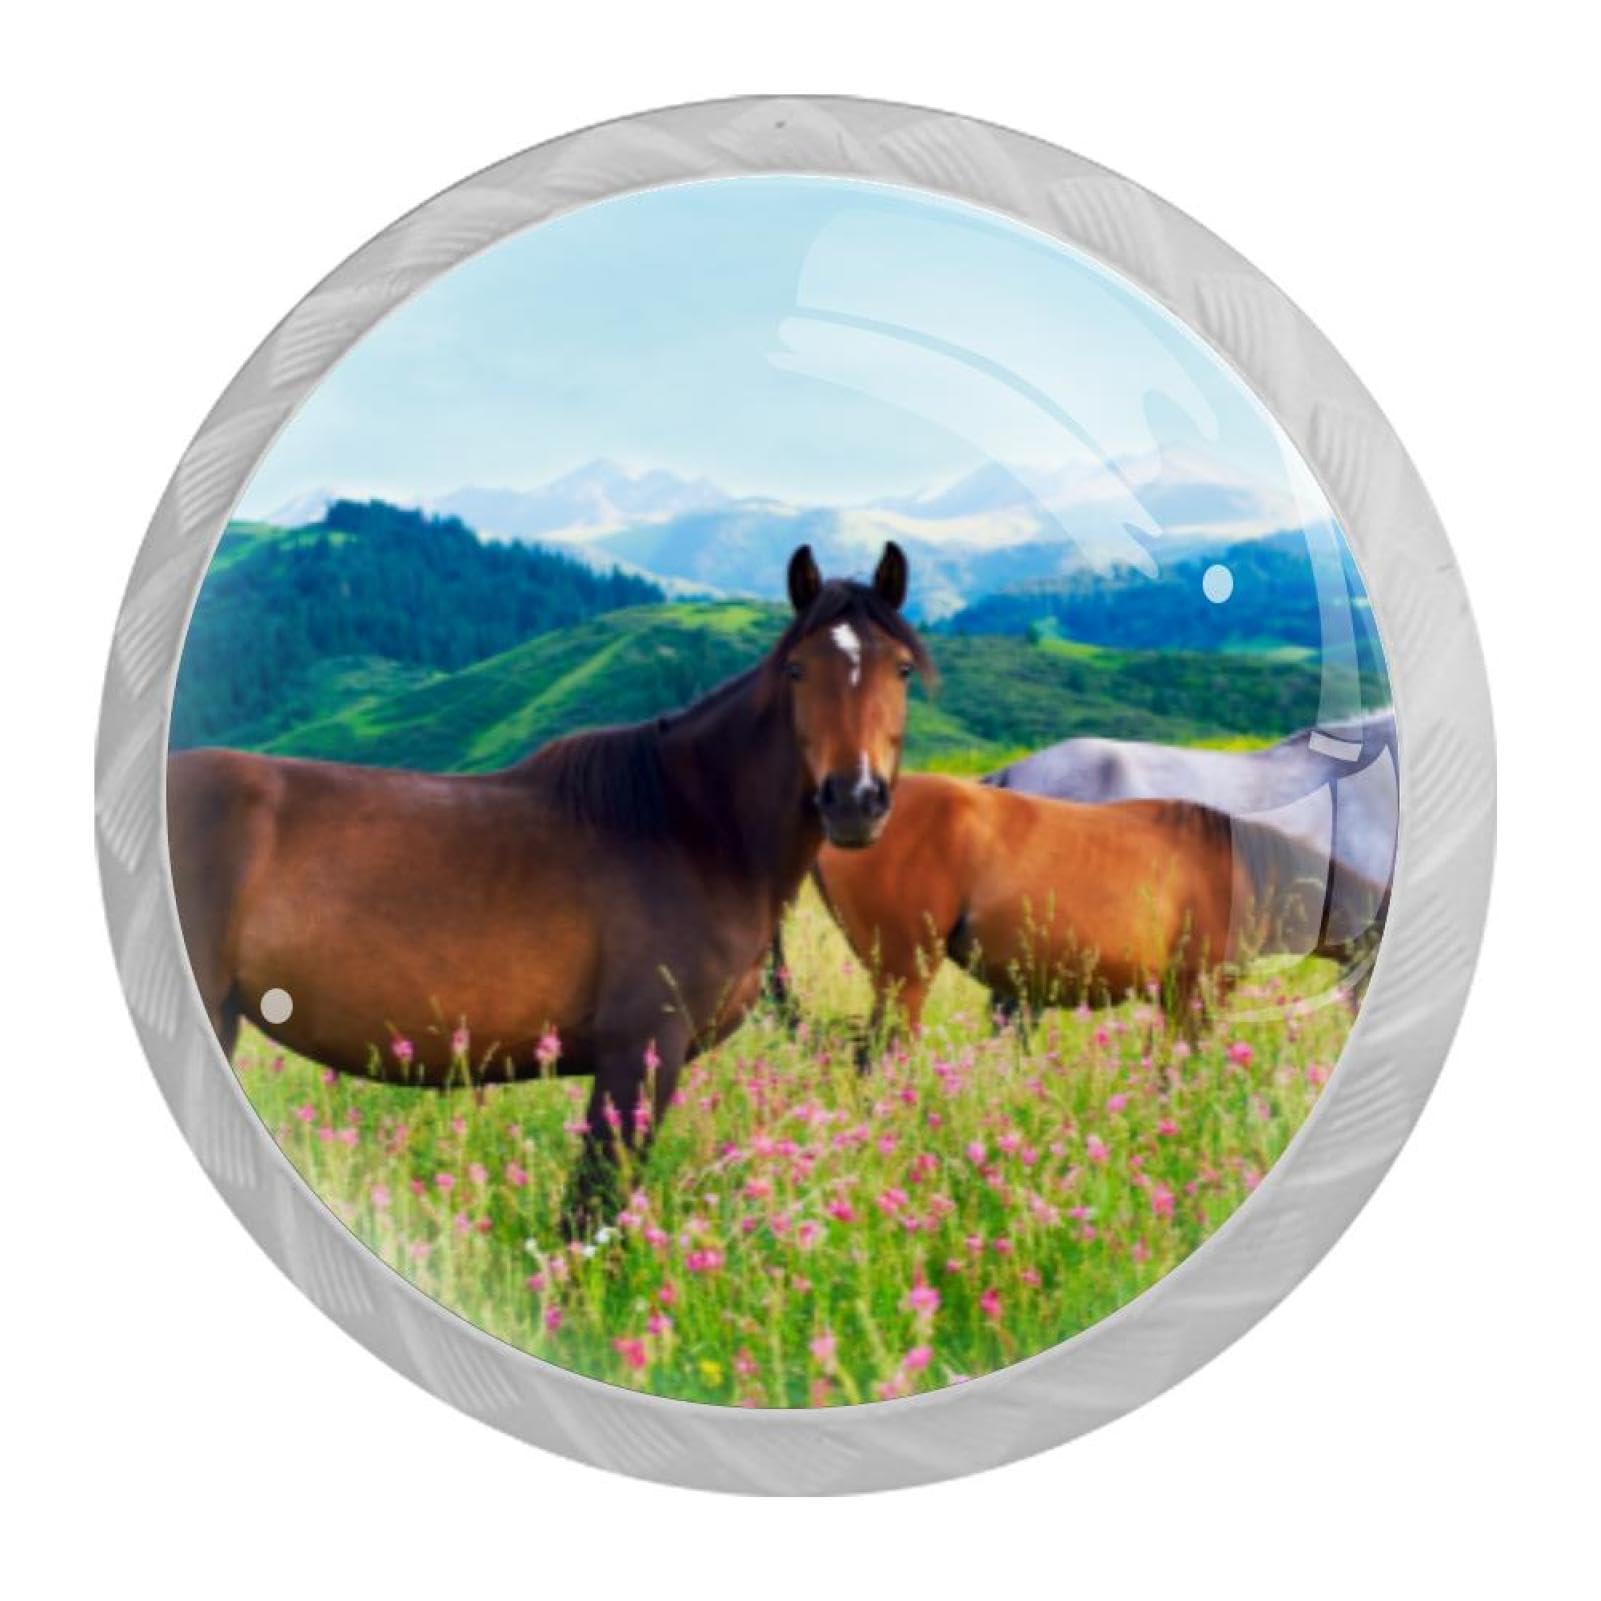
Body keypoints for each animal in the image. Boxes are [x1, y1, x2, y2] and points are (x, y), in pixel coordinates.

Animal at [167, 542, 932, 1229]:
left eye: (899, 669)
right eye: (798, 670)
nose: (854, 801)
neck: (691, 829)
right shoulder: (638, 1050)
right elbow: (591, 1214)